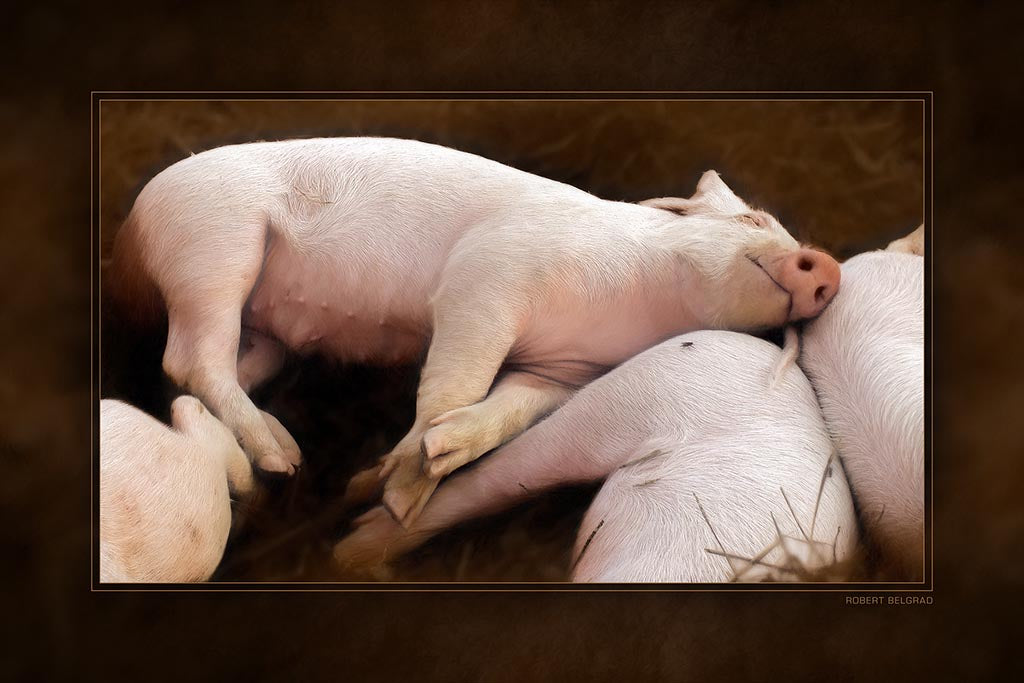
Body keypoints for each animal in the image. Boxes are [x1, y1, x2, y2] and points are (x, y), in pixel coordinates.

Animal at [109, 136, 840, 528]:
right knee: (189, 356)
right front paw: (390, 494)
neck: (634, 306)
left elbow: (506, 409)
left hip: (260, 324)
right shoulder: (488, 279)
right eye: (752, 221)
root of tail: (132, 230)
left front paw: (395, 480)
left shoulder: (564, 372)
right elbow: (454, 382)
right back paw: (284, 459)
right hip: (213, 245)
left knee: (211, 370)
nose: (827, 265)